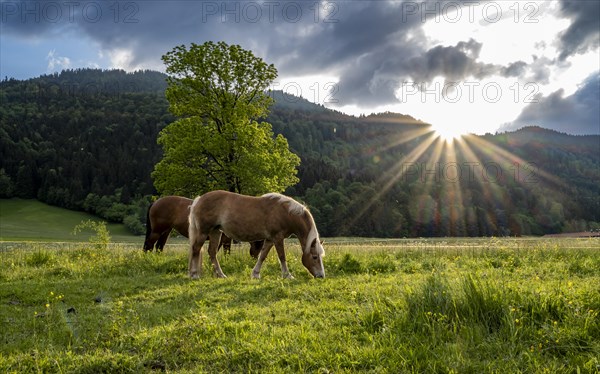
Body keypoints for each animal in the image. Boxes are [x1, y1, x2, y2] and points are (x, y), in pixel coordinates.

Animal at [190, 191, 326, 280]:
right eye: (314, 257)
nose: (321, 276)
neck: (286, 213)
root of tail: (199, 199)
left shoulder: (270, 239)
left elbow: (262, 256)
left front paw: (255, 274)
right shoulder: (278, 238)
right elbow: (282, 257)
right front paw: (288, 275)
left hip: (215, 232)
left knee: (212, 252)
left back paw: (220, 275)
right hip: (203, 232)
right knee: (196, 249)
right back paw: (194, 274)